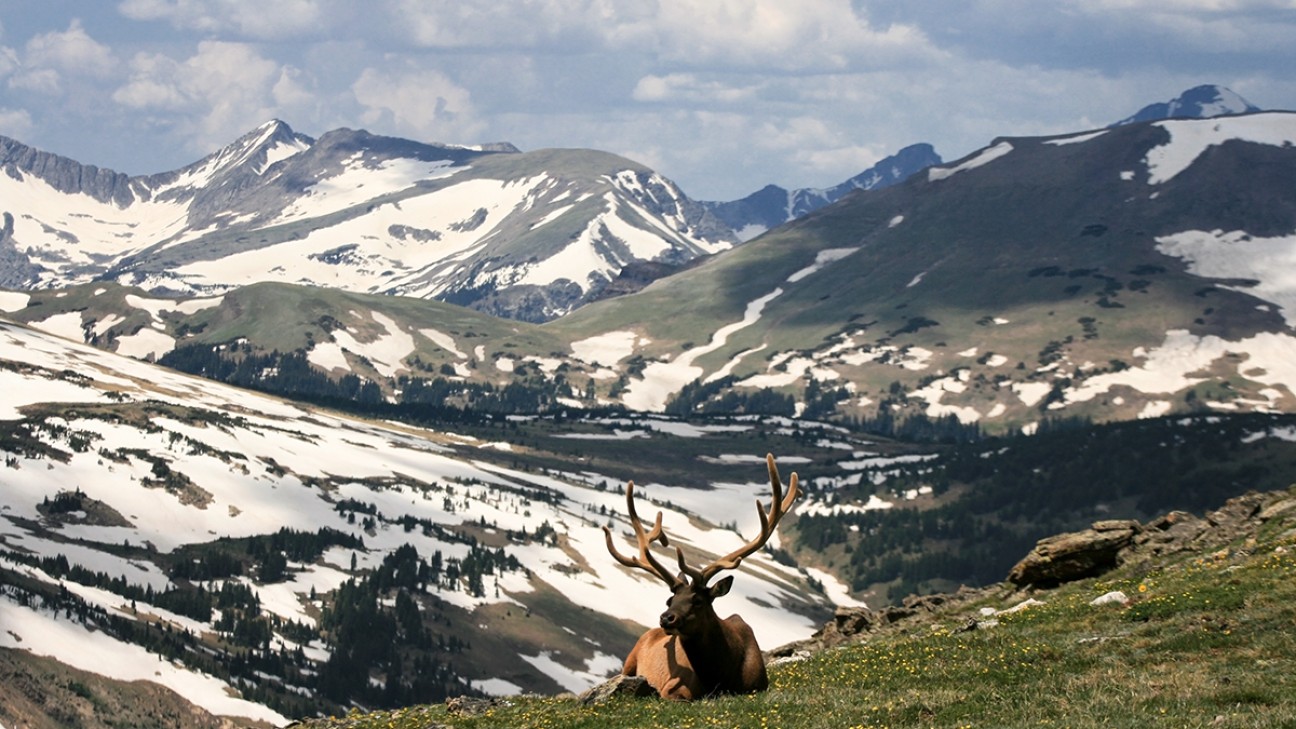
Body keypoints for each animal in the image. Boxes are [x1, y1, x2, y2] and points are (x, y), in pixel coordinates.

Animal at [598, 451, 798, 695]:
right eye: (670, 600)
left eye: (698, 600)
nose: (666, 618)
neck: (721, 677)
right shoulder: (671, 688)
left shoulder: (758, 685)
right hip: (629, 660)